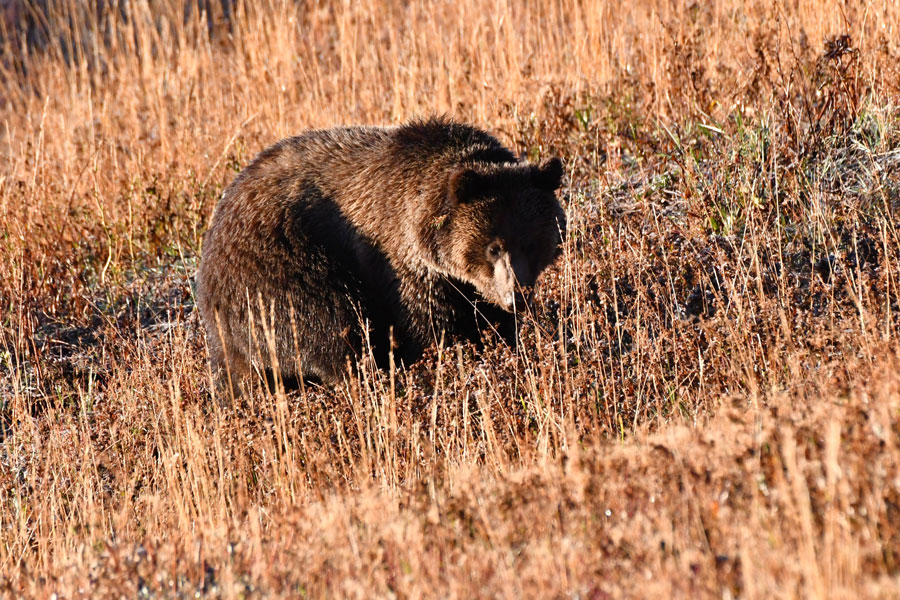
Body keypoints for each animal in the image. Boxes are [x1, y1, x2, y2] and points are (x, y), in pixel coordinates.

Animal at [196, 117, 565, 394]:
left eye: (532, 242)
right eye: (493, 246)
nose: (516, 296)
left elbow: (487, 320)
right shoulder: (400, 263)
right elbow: (434, 327)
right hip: (277, 262)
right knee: (325, 323)